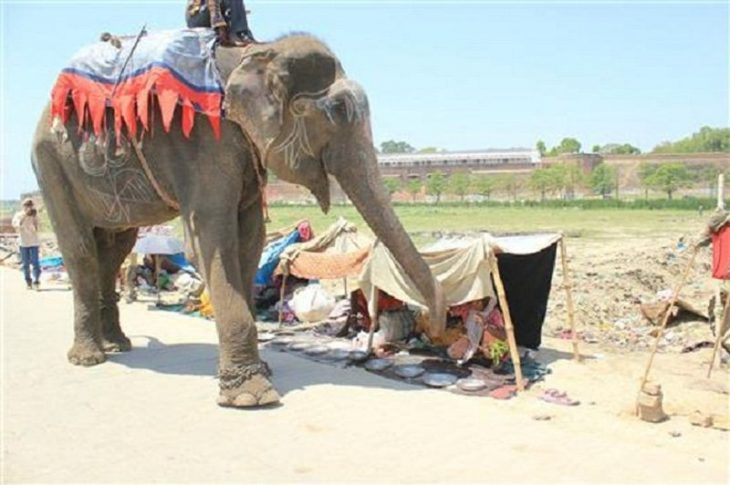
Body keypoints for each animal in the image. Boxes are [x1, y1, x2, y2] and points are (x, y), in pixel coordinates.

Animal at [29, 32, 444, 406]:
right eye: (338, 111)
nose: (436, 327)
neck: (255, 52)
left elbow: (250, 242)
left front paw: (260, 373)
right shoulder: (197, 142)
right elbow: (210, 240)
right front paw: (251, 397)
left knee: (115, 248)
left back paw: (118, 345)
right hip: (51, 166)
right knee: (81, 249)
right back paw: (89, 358)